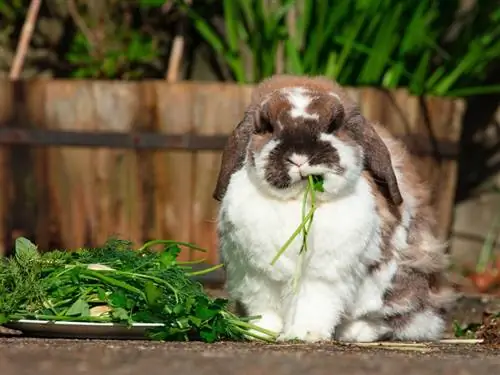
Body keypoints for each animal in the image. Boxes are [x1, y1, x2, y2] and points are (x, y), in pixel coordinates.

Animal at [211, 74, 458, 344]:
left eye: (333, 125)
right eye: (266, 126)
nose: (299, 157)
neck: (298, 202)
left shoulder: (322, 278)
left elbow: (313, 306)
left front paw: (304, 334)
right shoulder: (257, 276)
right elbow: (265, 309)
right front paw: (260, 332)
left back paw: (356, 332)